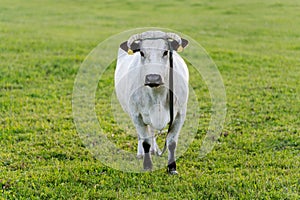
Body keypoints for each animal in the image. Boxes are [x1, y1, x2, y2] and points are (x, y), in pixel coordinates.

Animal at [113, 30, 189, 173]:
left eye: (165, 52)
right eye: (142, 53)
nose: (153, 78)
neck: (157, 94)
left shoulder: (180, 115)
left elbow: (171, 142)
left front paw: (172, 168)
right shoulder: (136, 115)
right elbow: (145, 142)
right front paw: (147, 165)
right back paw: (141, 153)